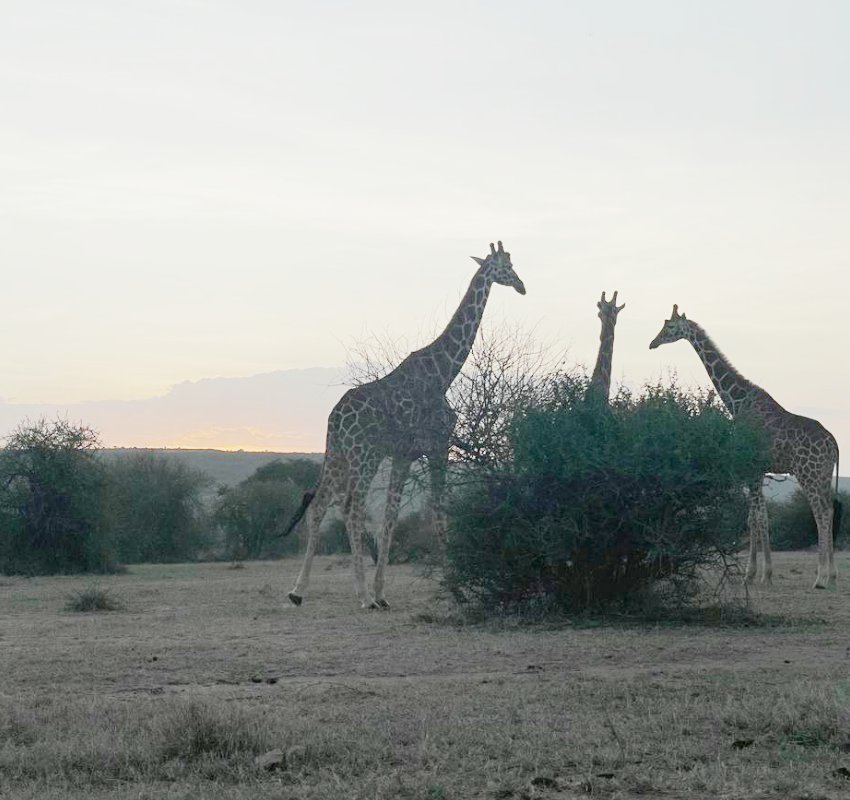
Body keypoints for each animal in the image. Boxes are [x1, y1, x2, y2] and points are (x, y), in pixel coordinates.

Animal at [283, 242, 526, 608]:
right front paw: (457, 590)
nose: (522, 285)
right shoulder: (438, 445)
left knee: (321, 503)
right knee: (351, 508)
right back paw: (362, 596)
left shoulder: (403, 455)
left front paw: (383, 593)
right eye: (505, 266)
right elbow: (439, 511)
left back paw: (299, 592)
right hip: (364, 455)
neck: (443, 373)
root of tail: (335, 418)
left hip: (337, 454)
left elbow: (391, 517)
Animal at [649, 305, 841, 588]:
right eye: (663, 325)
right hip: (824, 475)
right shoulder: (755, 469)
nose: (653, 343)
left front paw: (761, 574)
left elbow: (759, 518)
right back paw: (832, 575)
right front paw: (755, 573)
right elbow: (755, 518)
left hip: (809, 473)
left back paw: (821, 577)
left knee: (822, 513)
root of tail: (835, 444)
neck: (736, 401)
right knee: (830, 509)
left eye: (670, 327)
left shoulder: (750, 467)